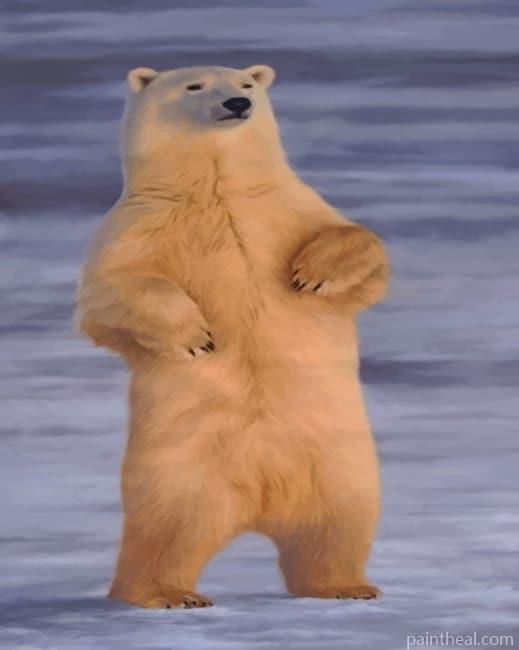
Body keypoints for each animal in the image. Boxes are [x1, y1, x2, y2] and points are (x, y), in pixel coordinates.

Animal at [75, 64, 389, 609]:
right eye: (194, 86)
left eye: (246, 85)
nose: (237, 105)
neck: (216, 188)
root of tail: (258, 502)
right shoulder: (137, 225)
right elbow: (111, 290)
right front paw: (197, 335)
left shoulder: (289, 208)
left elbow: (359, 249)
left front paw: (311, 275)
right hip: (180, 464)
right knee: (168, 525)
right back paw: (166, 592)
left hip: (340, 459)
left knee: (339, 518)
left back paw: (345, 585)